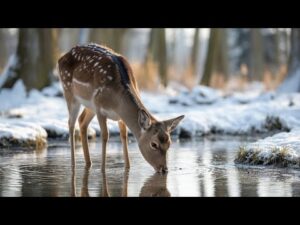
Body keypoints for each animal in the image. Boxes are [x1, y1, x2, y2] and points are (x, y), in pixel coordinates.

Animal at [58, 44, 184, 174]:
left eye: (169, 143)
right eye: (154, 144)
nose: (164, 169)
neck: (117, 102)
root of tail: (61, 57)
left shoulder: (119, 116)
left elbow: (124, 136)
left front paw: (128, 167)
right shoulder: (99, 108)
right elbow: (105, 135)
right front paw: (102, 170)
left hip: (89, 105)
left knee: (82, 121)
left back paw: (89, 163)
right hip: (69, 92)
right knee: (71, 123)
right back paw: (73, 164)